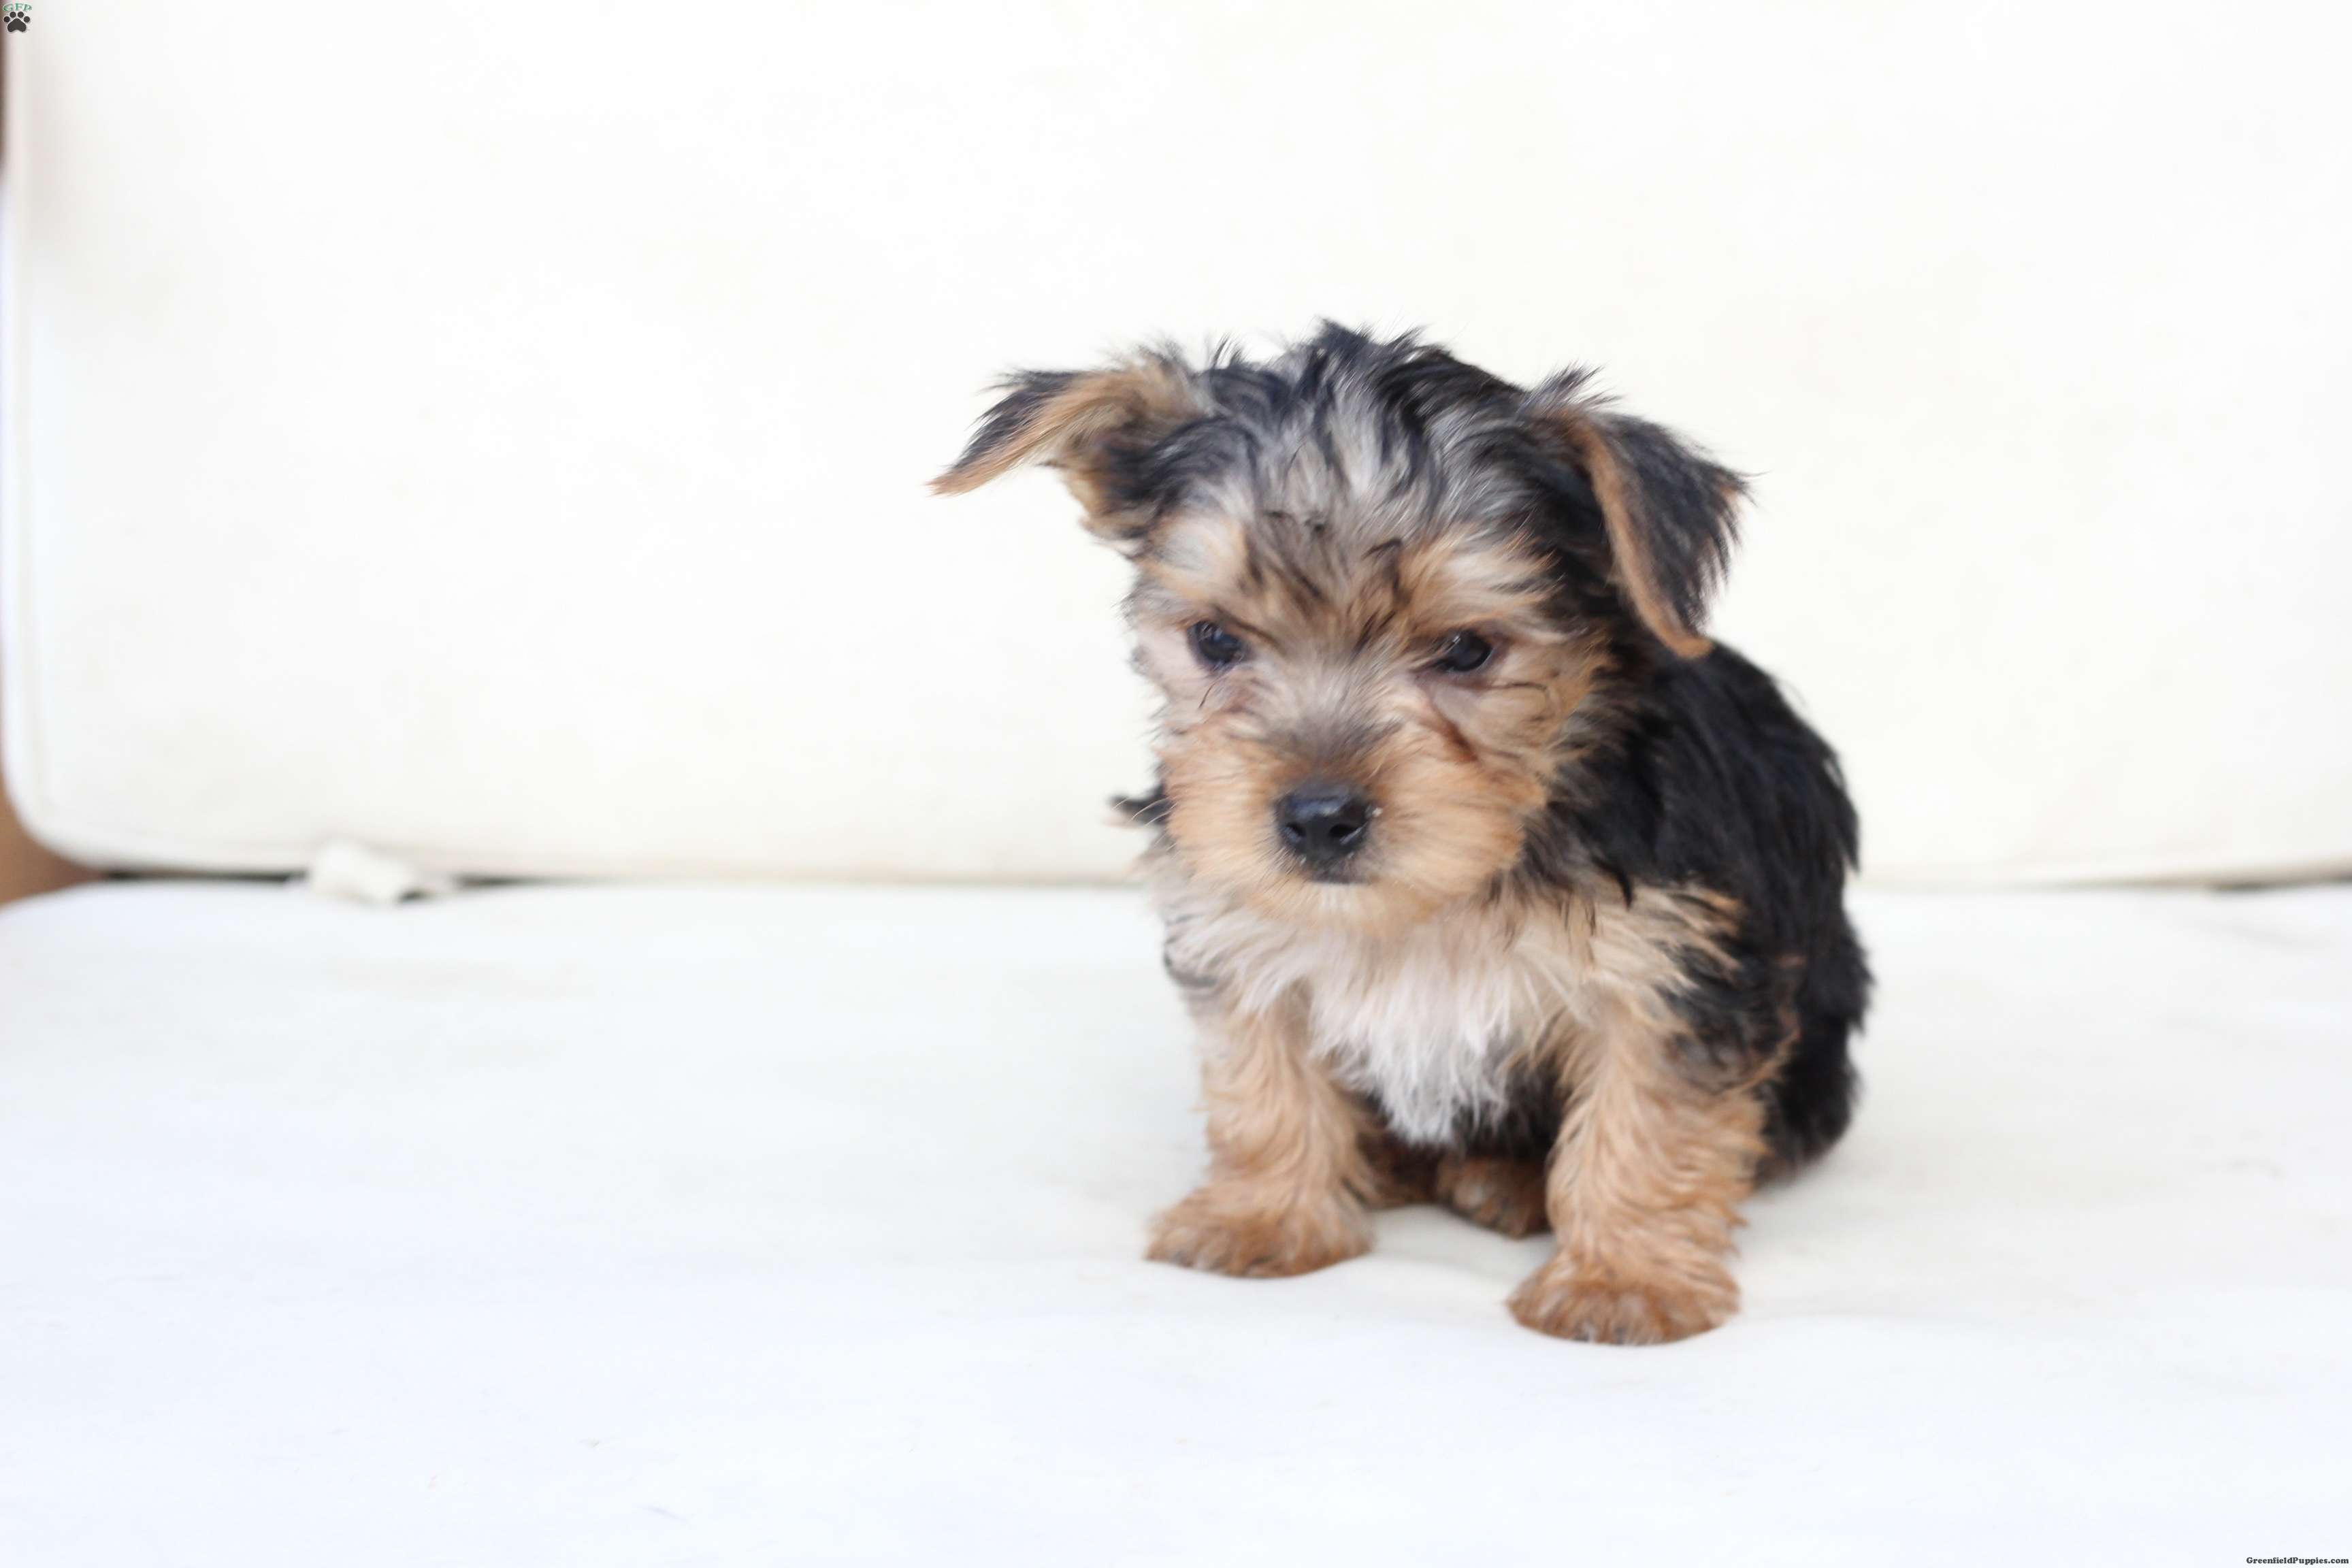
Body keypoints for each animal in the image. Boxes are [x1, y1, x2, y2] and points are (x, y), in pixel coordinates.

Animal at [935, 325, 1868, 1343]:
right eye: (1216, 641)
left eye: (1466, 650)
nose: (1317, 818)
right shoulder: (1240, 926)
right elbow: (1260, 1082)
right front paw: (1261, 1216)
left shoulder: (1676, 968)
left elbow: (1651, 1118)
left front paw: (1623, 1280)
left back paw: (1508, 1183)